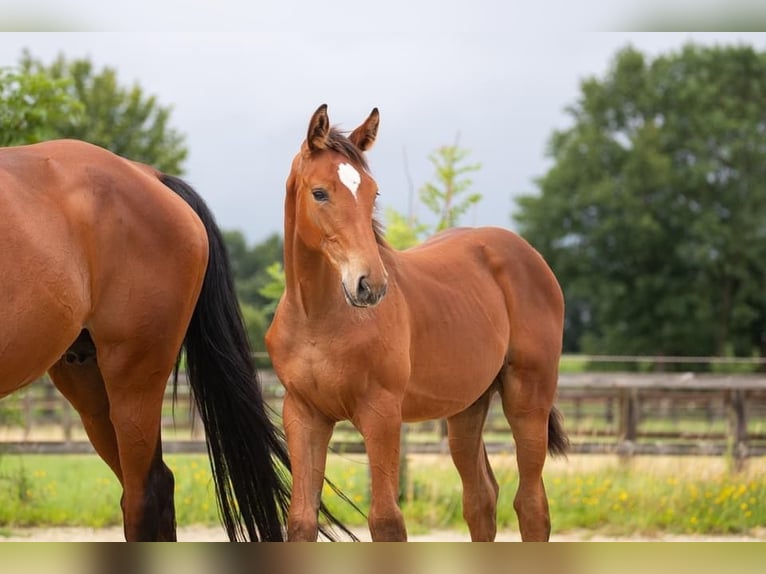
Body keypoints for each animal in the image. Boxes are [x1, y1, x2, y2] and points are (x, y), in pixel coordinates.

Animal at [268, 104, 568, 544]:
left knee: (531, 506)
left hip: (527, 398)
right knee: (481, 499)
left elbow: (386, 521)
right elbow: (302, 521)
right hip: (467, 407)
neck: (317, 319)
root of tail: (531, 256)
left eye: (372, 193)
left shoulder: (381, 414)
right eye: (319, 192)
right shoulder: (304, 415)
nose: (371, 285)